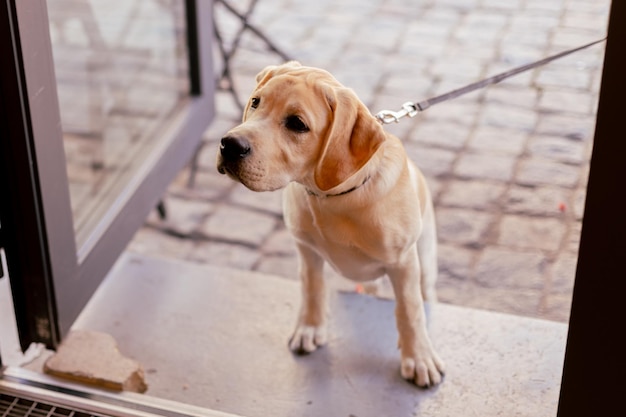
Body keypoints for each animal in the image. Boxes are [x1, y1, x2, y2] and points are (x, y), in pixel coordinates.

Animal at [217, 60, 442, 386]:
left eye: (297, 124)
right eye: (256, 102)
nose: (229, 145)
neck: (333, 198)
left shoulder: (403, 263)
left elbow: (409, 311)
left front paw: (419, 357)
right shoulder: (307, 251)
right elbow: (312, 289)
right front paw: (310, 328)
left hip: (425, 262)